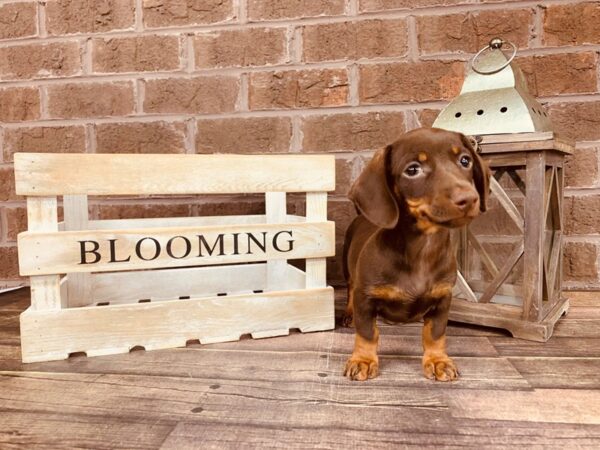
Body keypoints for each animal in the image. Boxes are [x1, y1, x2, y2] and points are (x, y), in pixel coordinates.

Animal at [344, 126, 490, 380]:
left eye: (465, 160)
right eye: (412, 170)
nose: (469, 199)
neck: (423, 250)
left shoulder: (443, 299)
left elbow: (435, 334)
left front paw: (438, 361)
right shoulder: (366, 297)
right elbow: (367, 333)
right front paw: (362, 360)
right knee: (350, 290)